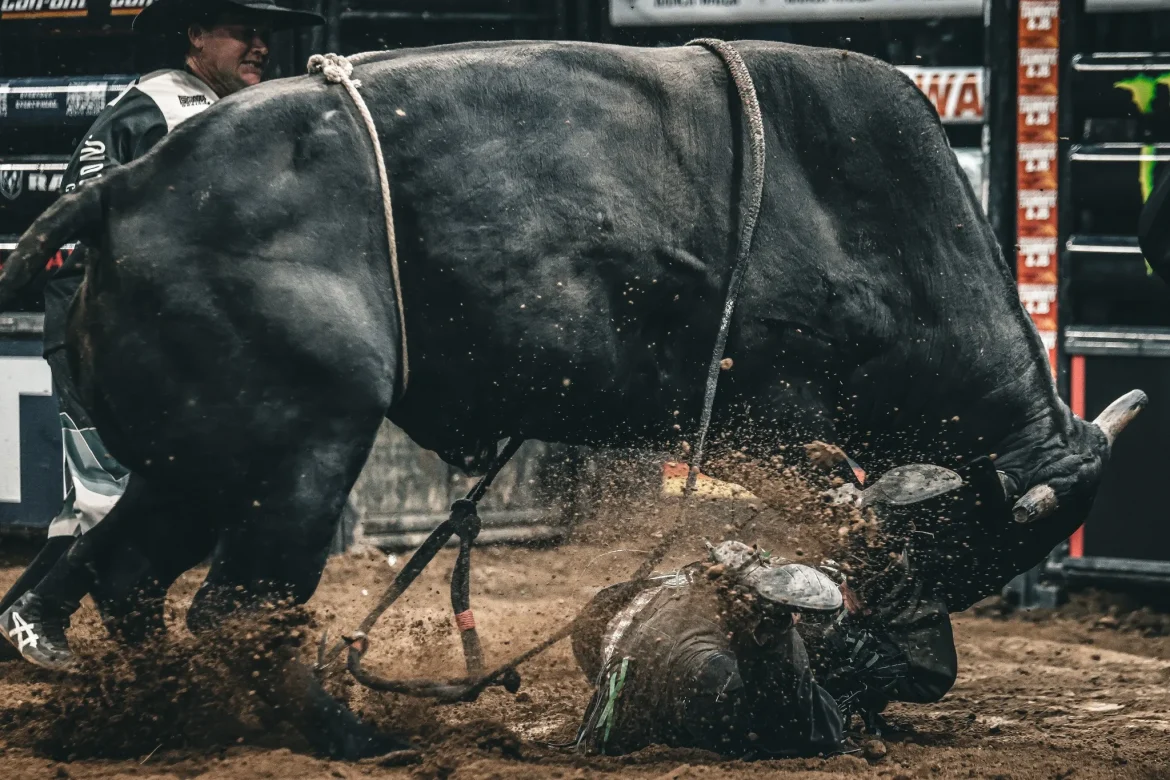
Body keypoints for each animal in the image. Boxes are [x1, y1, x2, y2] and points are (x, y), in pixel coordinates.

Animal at [0, 40, 1143, 757]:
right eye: (962, 543)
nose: (890, 669)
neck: (875, 222)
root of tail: (124, 189)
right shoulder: (784, 425)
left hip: (195, 462)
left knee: (133, 571)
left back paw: (161, 710)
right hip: (297, 453)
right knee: (233, 604)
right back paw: (356, 739)